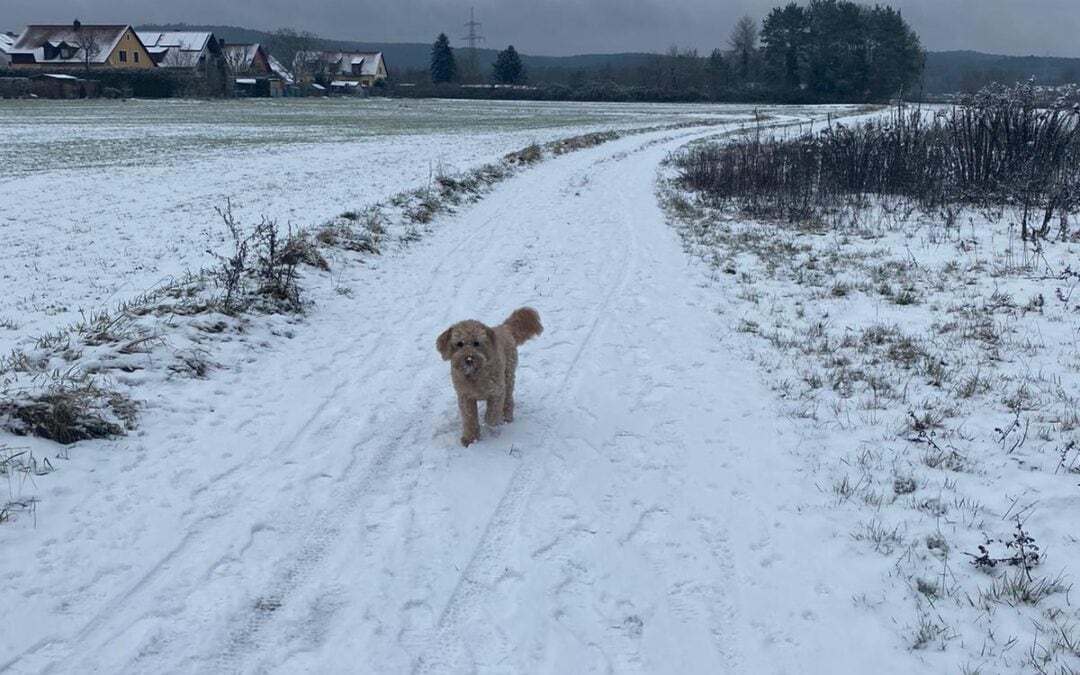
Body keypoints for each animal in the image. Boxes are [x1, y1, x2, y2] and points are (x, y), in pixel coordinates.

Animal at [434, 306, 544, 444]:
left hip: (508, 375)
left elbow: (493, 412)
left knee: (508, 399)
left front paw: (490, 421)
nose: (469, 359)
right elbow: (469, 419)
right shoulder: (465, 397)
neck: (475, 375)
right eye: (460, 343)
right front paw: (470, 438)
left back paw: (506, 416)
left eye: (476, 343)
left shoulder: (496, 391)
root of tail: (504, 327)